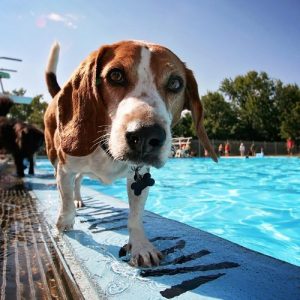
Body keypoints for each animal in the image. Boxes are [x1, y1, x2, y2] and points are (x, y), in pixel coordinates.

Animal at [44, 39, 217, 268]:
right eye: (115, 75)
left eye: (175, 83)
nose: (145, 134)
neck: (107, 151)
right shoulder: (64, 168)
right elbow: (65, 197)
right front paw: (65, 220)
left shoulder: (141, 178)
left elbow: (135, 217)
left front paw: (141, 246)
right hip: (55, 155)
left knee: (80, 180)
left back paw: (79, 198)